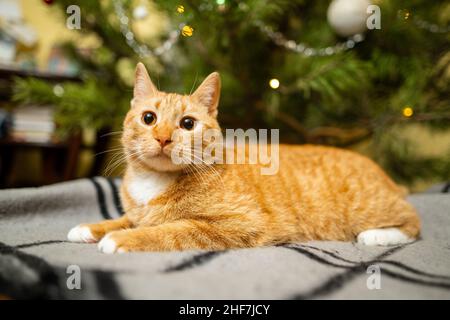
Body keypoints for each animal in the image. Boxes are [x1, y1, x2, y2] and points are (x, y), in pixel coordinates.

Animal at [66, 62, 418, 252]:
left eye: (187, 124)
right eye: (149, 118)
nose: (163, 137)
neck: (154, 182)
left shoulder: (236, 224)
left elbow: (168, 230)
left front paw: (120, 239)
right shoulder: (139, 212)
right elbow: (127, 219)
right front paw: (92, 227)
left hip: (370, 208)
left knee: (413, 222)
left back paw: (376, 235)